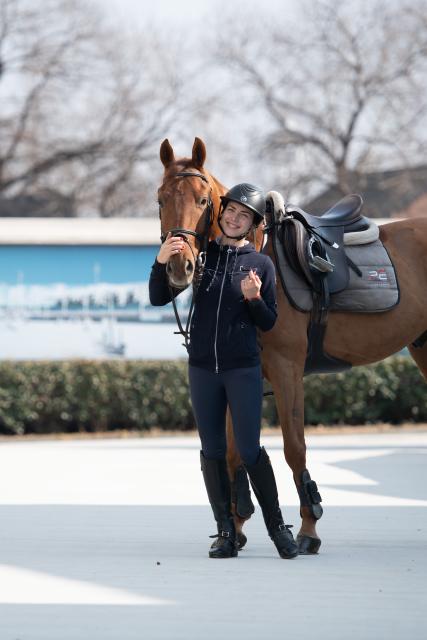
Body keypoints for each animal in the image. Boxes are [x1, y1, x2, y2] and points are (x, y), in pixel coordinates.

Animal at [157, 136, 427, 553]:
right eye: (160, 199)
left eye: (203, 200)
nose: (177, 266)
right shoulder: (238, 375)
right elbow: (235, 452)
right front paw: (235, 529)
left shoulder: (287, 371)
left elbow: (293, 448)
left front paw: (307, 530)